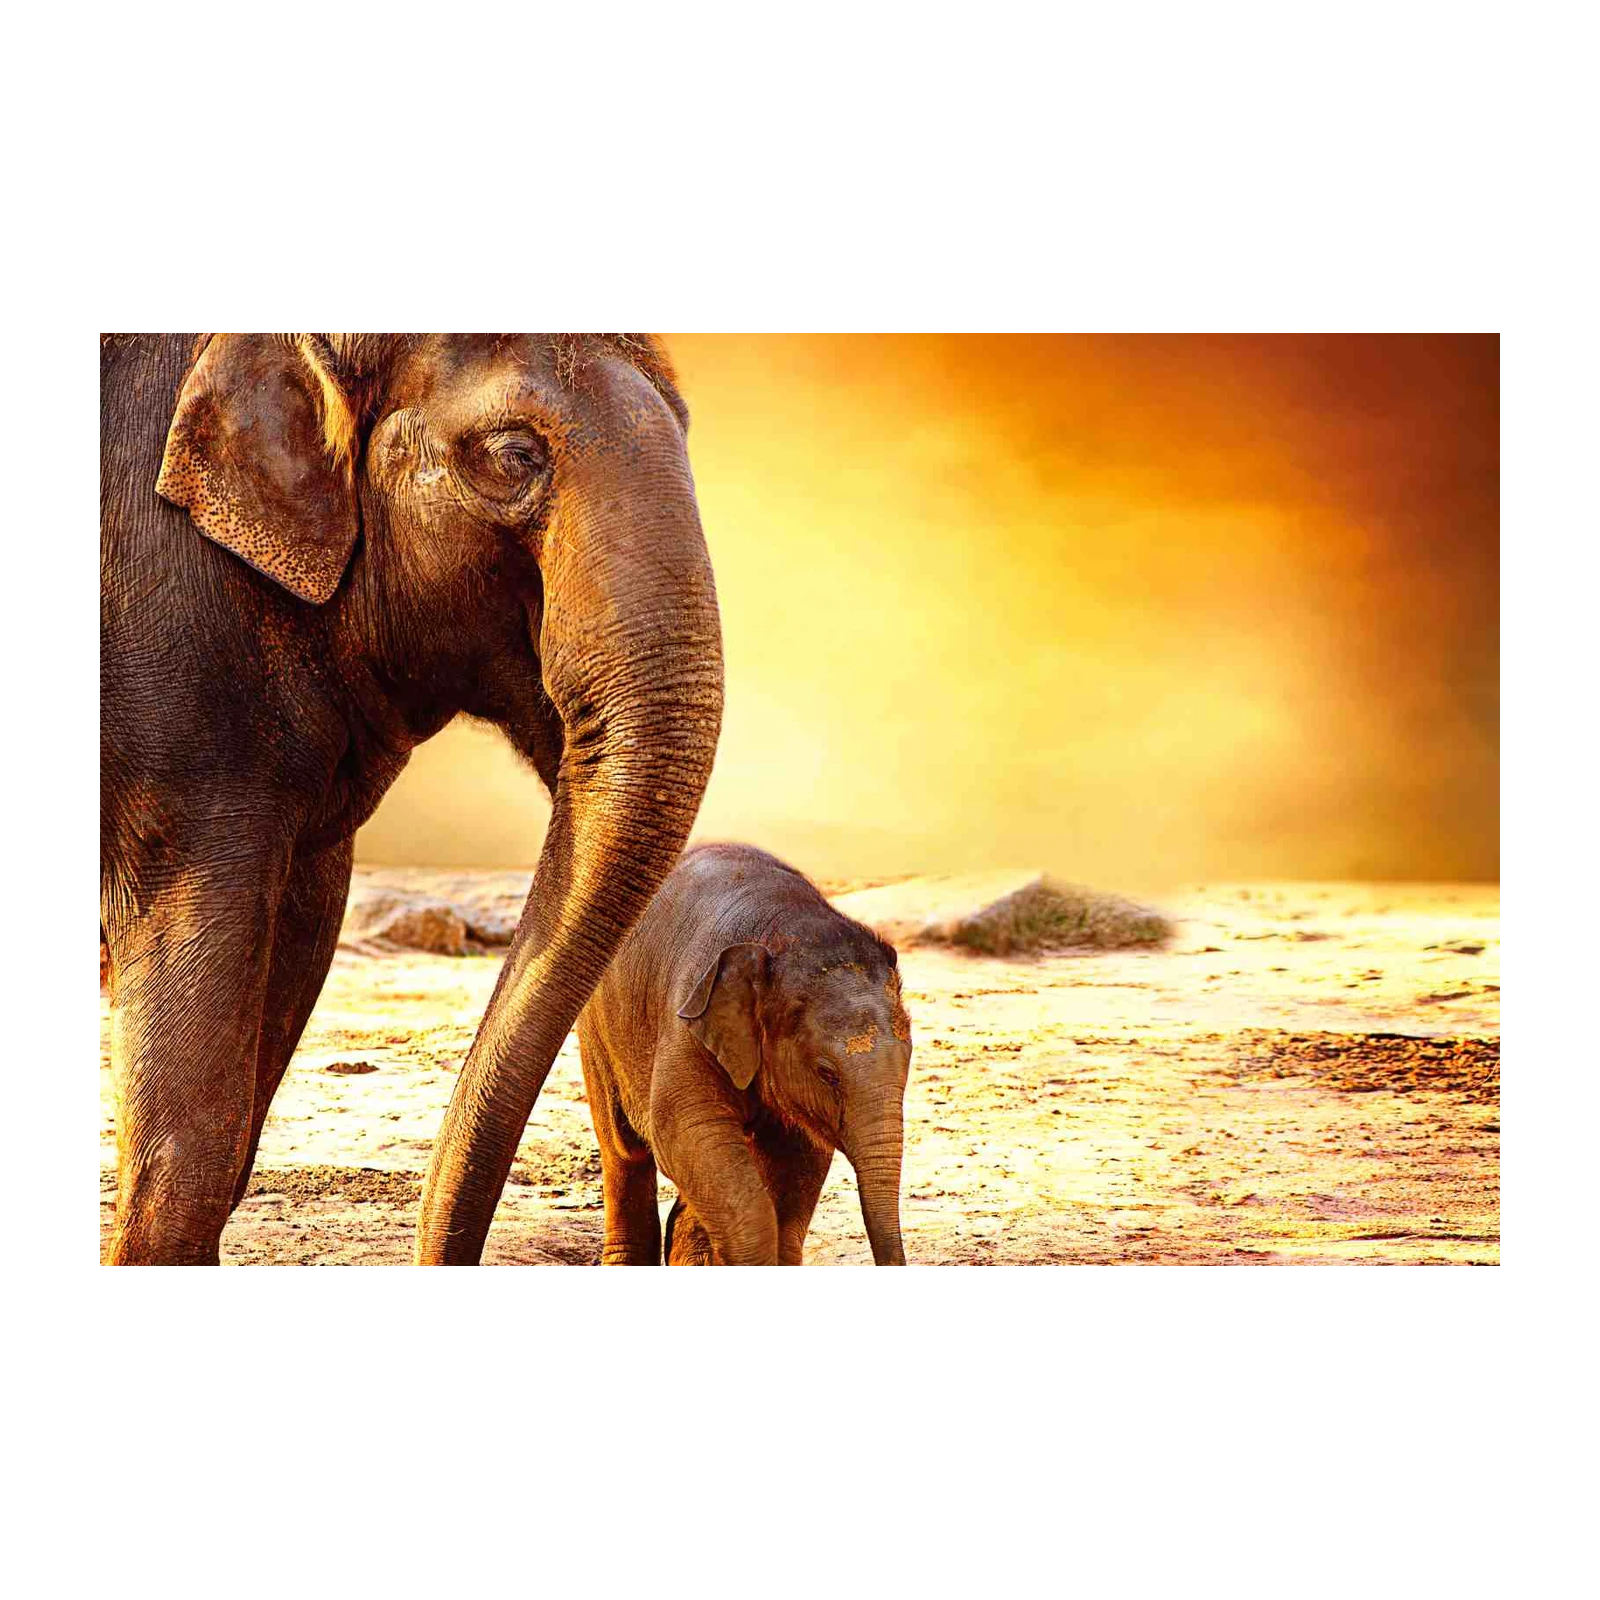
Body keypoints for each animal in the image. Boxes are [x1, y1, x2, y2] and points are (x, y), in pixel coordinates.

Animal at [577, 843, 912, 1266]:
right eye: (827, 1073)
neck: (785, 927)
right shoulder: (688, 1017)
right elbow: (683, 1131)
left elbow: (799, 1158)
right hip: (598, 1030)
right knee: (624, 1151)